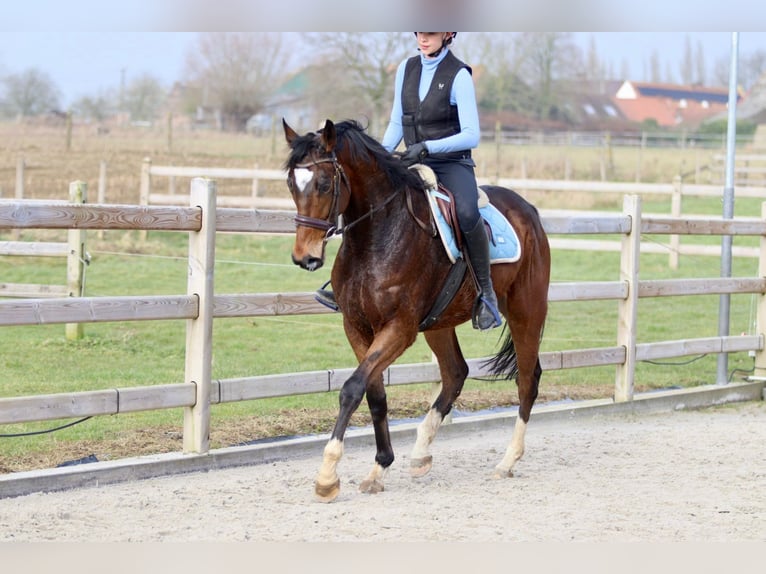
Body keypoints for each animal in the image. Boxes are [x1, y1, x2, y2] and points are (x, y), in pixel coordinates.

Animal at [282, 118, 552, 504]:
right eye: (291, 183)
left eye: (323, 183)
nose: (304, 257)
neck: (376, 236)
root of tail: (528, 209)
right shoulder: (357, 326)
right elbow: (374, 393)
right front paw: (379, 467)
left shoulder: (399, 329)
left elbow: (352, 388)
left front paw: (327, 476)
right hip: (439, 323)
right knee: (455, 373)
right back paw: (421, 452)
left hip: (525, 311)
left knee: (527, 381)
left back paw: (507, 461)